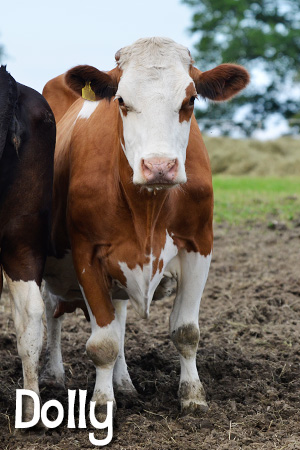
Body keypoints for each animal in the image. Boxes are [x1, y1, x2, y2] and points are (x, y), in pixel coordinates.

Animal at [41, 37, 248, 416]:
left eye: (191, 99)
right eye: (121, 100)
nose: (159, 167)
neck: (148, 208)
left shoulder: (199, 246)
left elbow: (185, 331)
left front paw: (192, 395)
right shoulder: (86, 255)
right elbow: (103, 342)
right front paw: (102, 404)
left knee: (119, 317)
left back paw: (124, 382)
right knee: (52, 312)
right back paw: (53, 375)